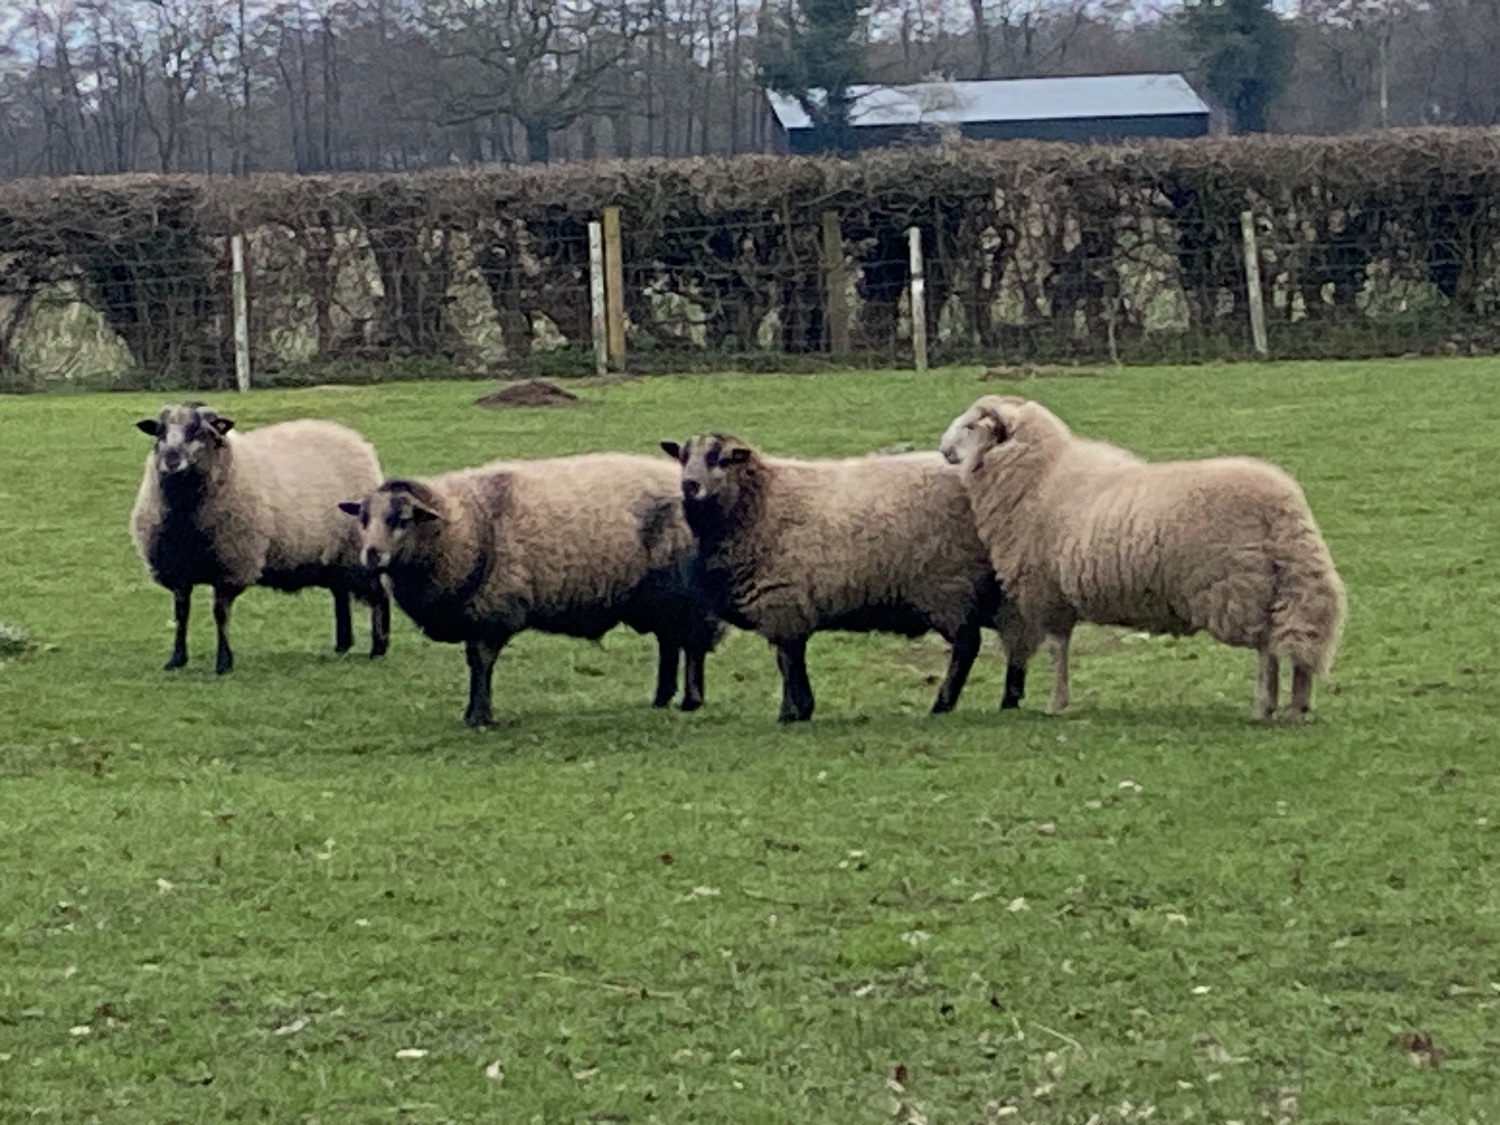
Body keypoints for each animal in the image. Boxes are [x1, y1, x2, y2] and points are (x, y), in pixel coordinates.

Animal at [130, 402, 390, 674]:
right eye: (160, 432)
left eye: (198, 431)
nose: (171, 460)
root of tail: (356, 440)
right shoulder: (177, 569)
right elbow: (181, 614)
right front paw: (176, 659)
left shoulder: (231, 566)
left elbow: (220, 613)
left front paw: (224, 663)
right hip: (334, 558)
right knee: (340, 595)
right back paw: (342, 645)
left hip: (356, 550)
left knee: (379, 595)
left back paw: (378, 649)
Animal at [338, 454, 722, 728]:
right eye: (363, 518)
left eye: (402, 519)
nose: (371, 555)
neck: (464, 524)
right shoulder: (475, 612)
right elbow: (474, 662)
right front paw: (474, 713)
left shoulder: (491, 610)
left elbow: (481, 662)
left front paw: (479, 717)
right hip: (657, 598)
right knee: (669, 642)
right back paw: (661, 698)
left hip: (685, 593)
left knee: (692, 644)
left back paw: (690, 701)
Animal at [659, 432, 1026, 723]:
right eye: (683, 457)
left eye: (720, 459)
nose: (689, 486)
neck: (759, 503)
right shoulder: (790, 609)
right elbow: (791, 659)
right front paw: (800, 709)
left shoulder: (782, 601)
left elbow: (787, 661)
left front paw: (791, 713)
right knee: (1016, 638)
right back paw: (1010, 699)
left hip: (950, 586)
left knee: (967, 645)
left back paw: (943, 705)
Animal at [937, 395, 1347, 721]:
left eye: (971, 426)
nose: (942, 450)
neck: (1040, 474)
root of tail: (1285, 508)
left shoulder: (1046, 592)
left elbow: (1057, 651)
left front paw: (1056, 703)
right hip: (1279, 583)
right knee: (1293, 642)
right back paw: (1297, 707)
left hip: (1238, 586)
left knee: (1266, 650)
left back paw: (1264, 706)